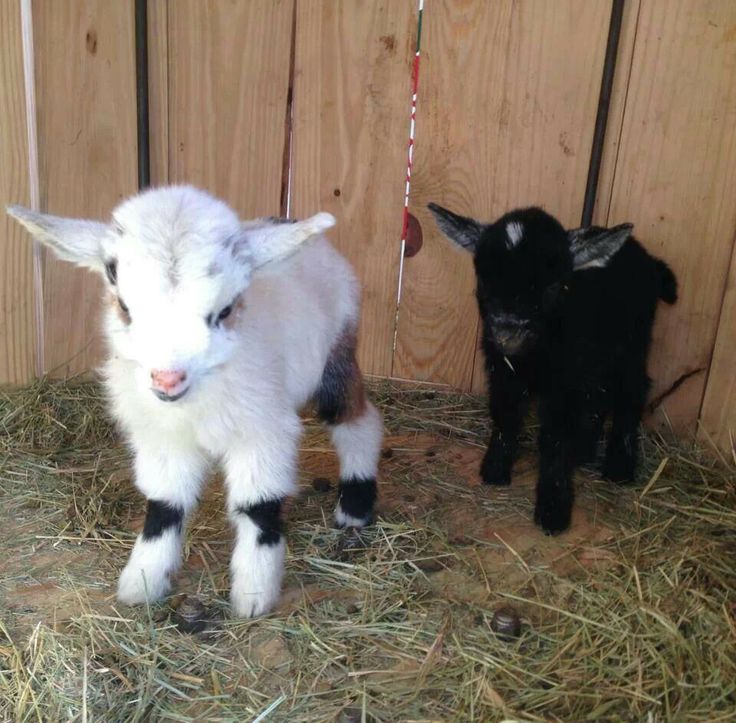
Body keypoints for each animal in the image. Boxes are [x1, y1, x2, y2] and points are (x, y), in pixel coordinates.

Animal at [7, 185, 386, 616]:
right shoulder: (161, 437)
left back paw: (355, 506)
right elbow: (165, 503)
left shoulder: (263, 430)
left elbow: (258, 505)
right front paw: (143, 580)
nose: (167, 378)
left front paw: (253, 594)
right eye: (124, 307)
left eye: (225, 309)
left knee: (358, 421)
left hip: (336, 355)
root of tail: (284, 221)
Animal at [432, 202, 680, 532]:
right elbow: (506, 415)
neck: (534, 356)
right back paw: (586, 452)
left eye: (551, 287)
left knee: (633, 389)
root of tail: (646, 257)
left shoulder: (564, 381)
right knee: (599, 395)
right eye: (484, 280)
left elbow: (556, 438)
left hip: (634, 343)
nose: (507, 331)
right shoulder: (504, 369)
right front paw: (495, 468)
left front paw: (553, 508)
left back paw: (620, 466)